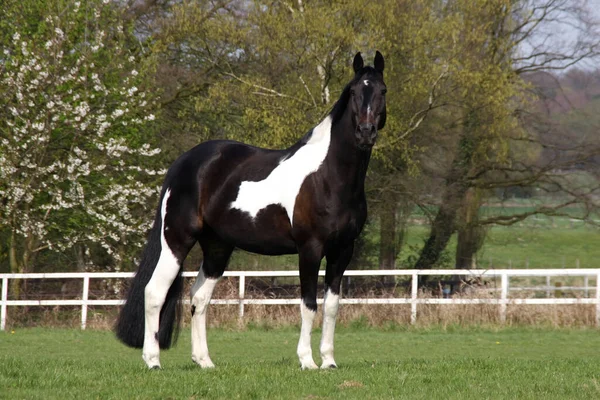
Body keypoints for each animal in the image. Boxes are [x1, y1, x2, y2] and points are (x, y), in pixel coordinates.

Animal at [116, 51, 390, 370]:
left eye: (382, 91)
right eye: (356, 92)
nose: (366, 132)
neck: (328, 176)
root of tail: (184, 163)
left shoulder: (342, 250)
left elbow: (332, 306)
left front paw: (329, 361)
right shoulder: (309, 248)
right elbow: (309, 305)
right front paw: (307, 361)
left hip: (217, 248)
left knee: (199, 298)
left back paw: (204, 361)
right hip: (176, 240)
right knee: (154, 293)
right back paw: (153, 361)